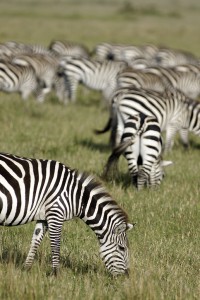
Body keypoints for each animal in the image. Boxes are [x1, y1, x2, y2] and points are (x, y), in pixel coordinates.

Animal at [0, 152, 134, 276]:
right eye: (122, 248)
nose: (127, 276)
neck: (77, 197)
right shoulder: (56, 213)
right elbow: (56, 244)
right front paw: (55, 274)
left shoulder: (44, 217)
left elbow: (36, 241)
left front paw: (26, 269)